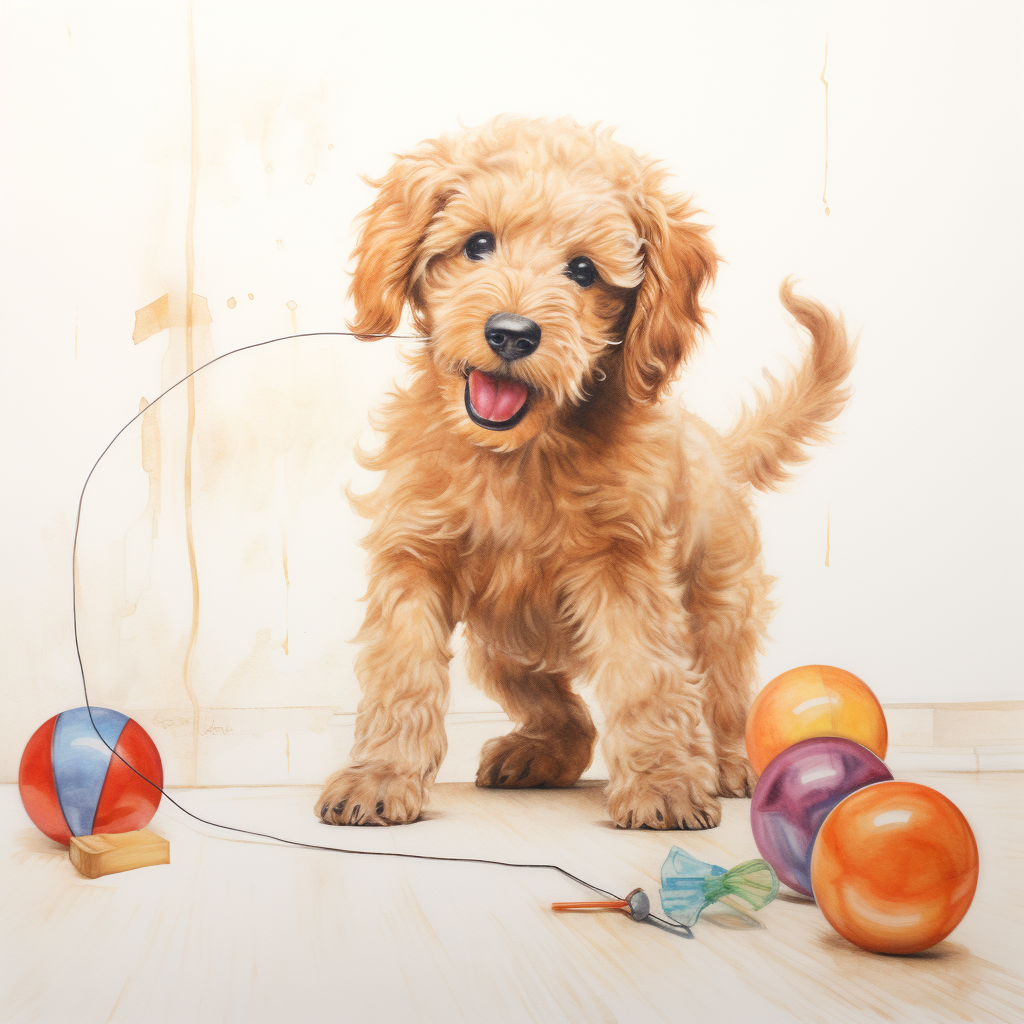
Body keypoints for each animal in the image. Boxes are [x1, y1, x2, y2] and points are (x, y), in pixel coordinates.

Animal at [313, 116, 856, 827]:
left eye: (583, 270)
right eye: (478, 244)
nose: (511, 333)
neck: (517, 457)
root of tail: (715, 445)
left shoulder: (626, 568)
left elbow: (646, 677)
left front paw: (663, 786)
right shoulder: (414, 554)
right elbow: (401, 672)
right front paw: (378, 777)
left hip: (719, 601)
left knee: (721, 689)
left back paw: (726, 763)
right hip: (504, 642)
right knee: (561, 709)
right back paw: (536, 753)